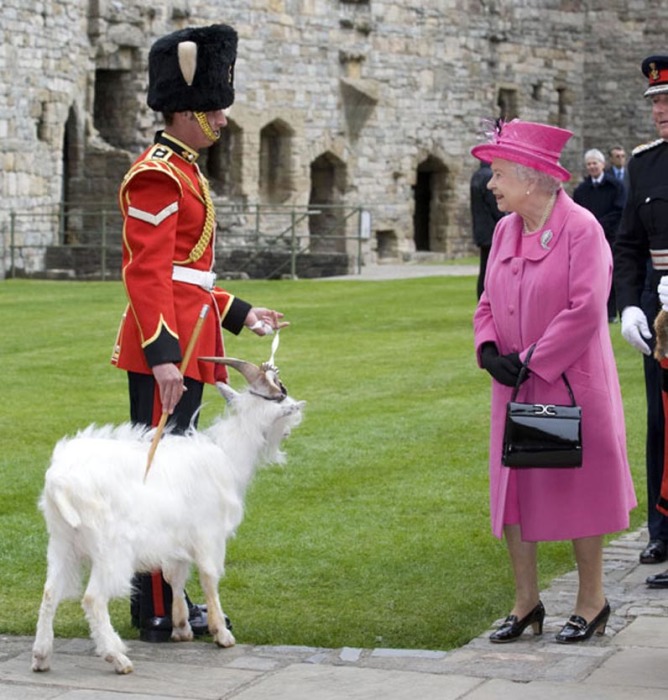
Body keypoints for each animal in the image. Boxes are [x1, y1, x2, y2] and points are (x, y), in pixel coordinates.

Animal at [31, 358, 302, 676]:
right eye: (279, 400)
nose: (294, 417)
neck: (226, 454)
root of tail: (59, 481)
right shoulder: (208, 534)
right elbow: (209, 577)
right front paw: (221, 633)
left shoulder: (175, 537)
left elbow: (175, 576)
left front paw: (181, 627)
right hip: (112, 549)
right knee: (92, 599)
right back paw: (116, 657)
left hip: (62, 543)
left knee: (50, 593)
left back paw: (41, 655)